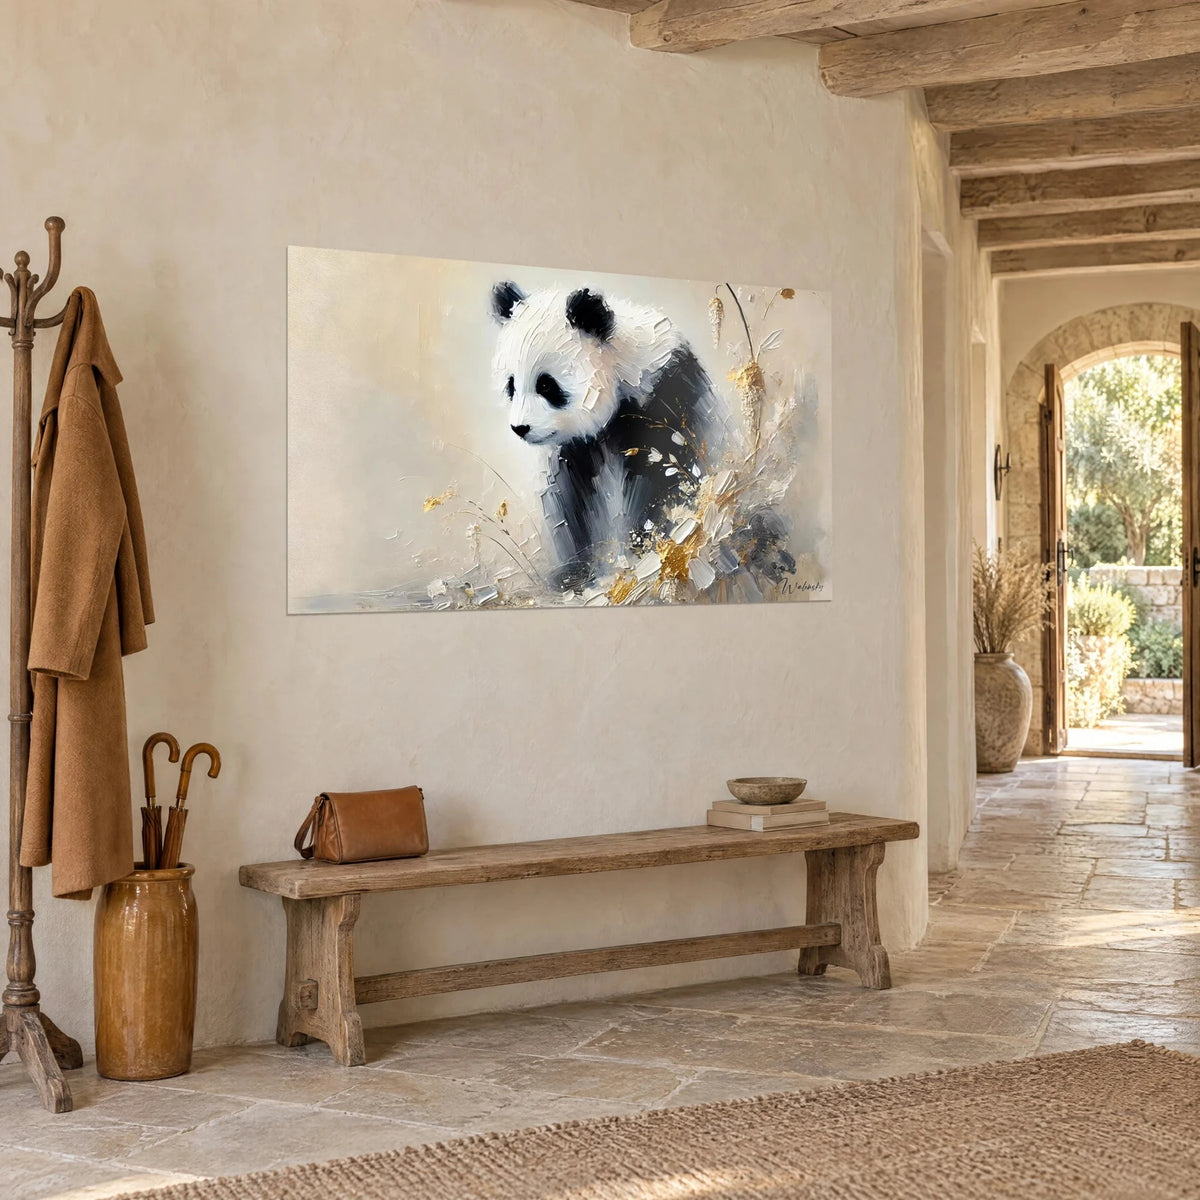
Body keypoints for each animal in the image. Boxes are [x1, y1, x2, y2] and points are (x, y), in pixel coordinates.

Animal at [491, 281, 724, 593]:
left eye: (546, 385)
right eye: (511, 384)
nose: (520, 428)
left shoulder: (665, 399)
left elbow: (664, 479)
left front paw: (645, 550)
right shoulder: (576, 445)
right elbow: (570, 499)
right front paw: (571, 573)